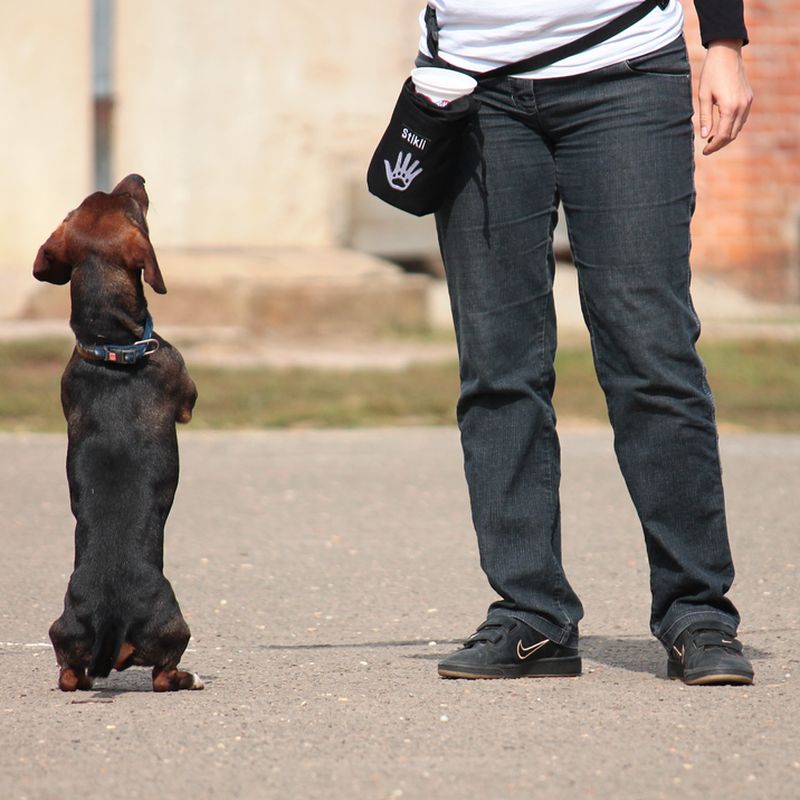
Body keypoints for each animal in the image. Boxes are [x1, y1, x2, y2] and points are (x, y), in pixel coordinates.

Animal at [34, 175, 203, 692]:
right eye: (133, 205)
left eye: (98, 198)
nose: (137, 179)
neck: (110, 341)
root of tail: (111, 617)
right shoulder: (183, 392)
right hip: (173, 625)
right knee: (163, 675)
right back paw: (190, 677)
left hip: (63, 630)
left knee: (71, 675)